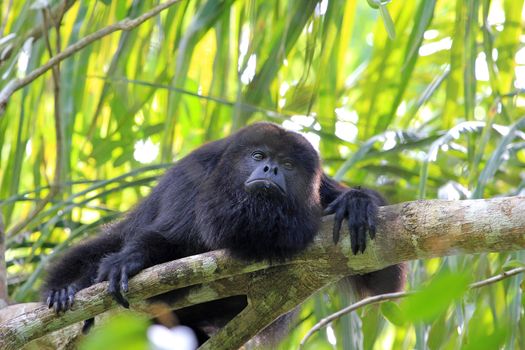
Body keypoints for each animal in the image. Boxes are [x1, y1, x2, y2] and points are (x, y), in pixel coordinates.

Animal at [44, 122, 406, 340]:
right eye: (258, 155)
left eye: (288, 165)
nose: (271, 168)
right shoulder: (193, 177)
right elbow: (165, 239)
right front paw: (128, 261)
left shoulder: (320, 192)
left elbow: (381, 277)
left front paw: (357, 202)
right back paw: (65, 289)